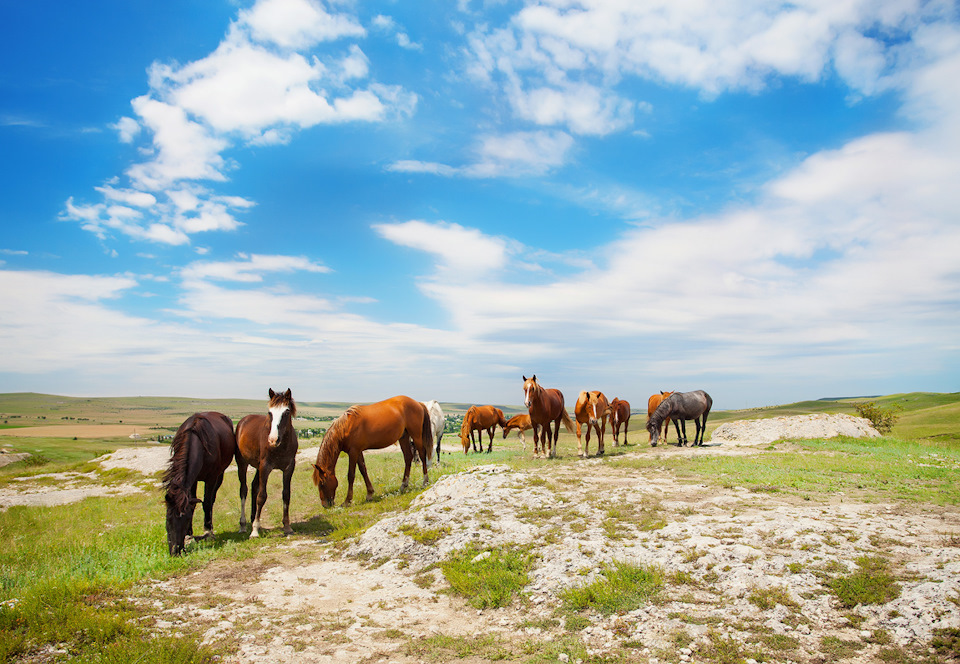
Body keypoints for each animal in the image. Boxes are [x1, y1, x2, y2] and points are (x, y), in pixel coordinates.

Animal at [161, 410, 236, 556]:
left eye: (184, 520)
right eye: (168, 519)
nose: (175, 551)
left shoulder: (211, 478)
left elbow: (206, 503)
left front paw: (208, 530)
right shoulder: (192, 480)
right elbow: (192, 503)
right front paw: (189, 534)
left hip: (220, 475)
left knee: (211, 500)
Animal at [234, 390, 298, 540]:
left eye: (286, 411)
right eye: (270, 412)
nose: (273, 440)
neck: (281, 446)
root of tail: (243, 421)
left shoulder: (289, 468)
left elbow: (286, 494)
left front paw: (287, 526)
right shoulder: (265, 467)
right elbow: (262, 496)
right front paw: (255, 530)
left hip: (258, 467)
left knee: (254, 486)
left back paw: (253, 519)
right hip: (242, 463)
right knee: (244, 490)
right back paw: (243, 525)